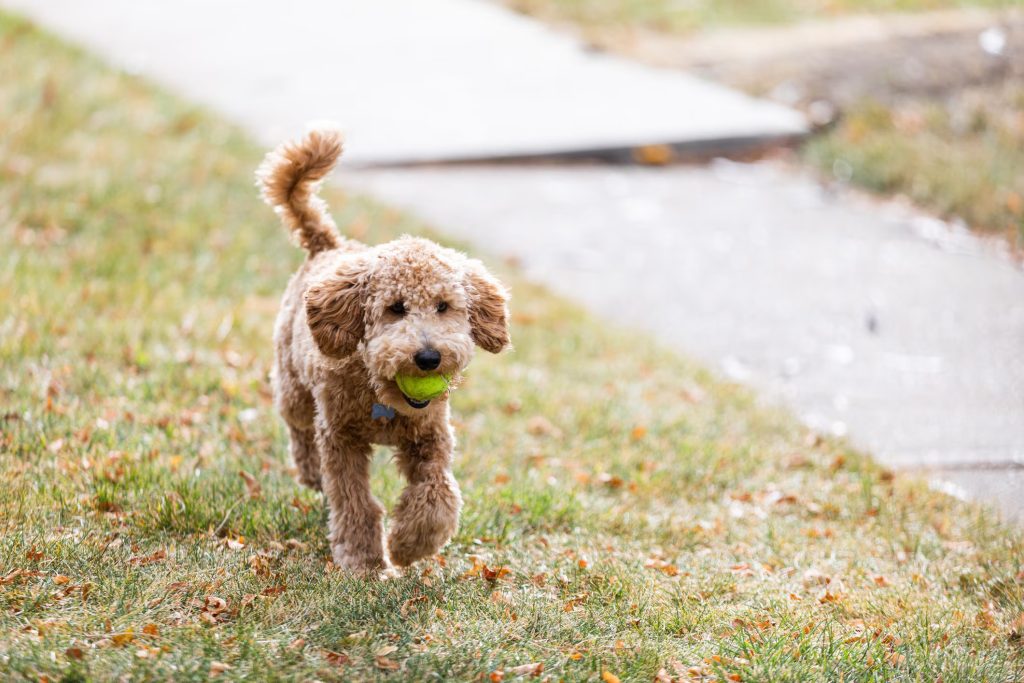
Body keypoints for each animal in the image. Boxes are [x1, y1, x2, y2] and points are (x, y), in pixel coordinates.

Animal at [258, 126, 509, 577]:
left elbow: (438, 492)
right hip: (293, 386)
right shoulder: (340, 439)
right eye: (395, 308)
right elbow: (355, 502)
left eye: (444, 306)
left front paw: (410, 544)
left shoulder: (431, 436)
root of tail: (328, 246)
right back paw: (310, 472)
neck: (382, 398)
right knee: (299, 428)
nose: (428, 358)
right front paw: (363, 561)